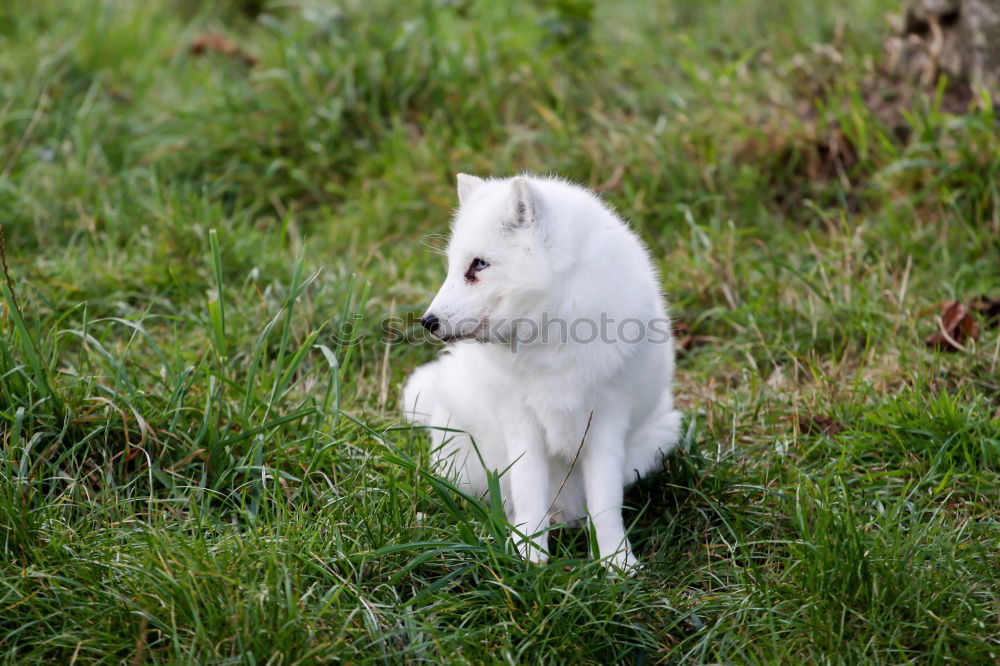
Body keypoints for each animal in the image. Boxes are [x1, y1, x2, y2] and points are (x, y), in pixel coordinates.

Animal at [400, 174, 680, 568]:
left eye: (479, 265)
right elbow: (529, 495)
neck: (552, 335)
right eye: (453, 266)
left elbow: (606, 505)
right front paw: (529, 560)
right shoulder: (521, 422)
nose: (428, 322)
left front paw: (617, 563)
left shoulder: (607, 422)